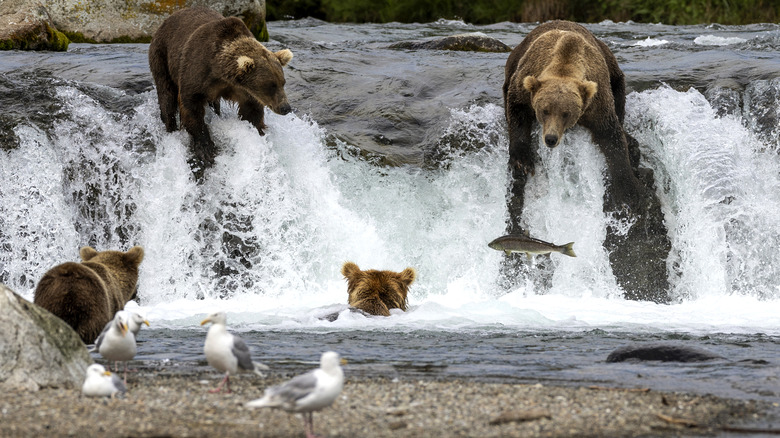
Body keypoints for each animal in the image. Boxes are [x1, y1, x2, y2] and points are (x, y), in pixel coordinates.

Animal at [148, 7, 294, 178]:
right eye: (270, 85)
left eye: (282, 82)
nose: (286, 108)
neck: (220, 72)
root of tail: (166, 20)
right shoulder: (196, 71)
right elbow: (191, 107)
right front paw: (206, 149)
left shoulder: (242, 90)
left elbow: (251, 112)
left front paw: (257, 131)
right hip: (162, 56)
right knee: (166, 95)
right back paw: (170, 128)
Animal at [502, 20, 671, 303]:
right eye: (544, 110)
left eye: (566, 112)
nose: (550, 139)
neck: (564, 62)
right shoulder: (525, 82)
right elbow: (515, 111)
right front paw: (522, 161)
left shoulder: (598, 100)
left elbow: (613, 138)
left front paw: (628, 194)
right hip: (515, 60)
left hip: (614, 71)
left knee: (621, 102)